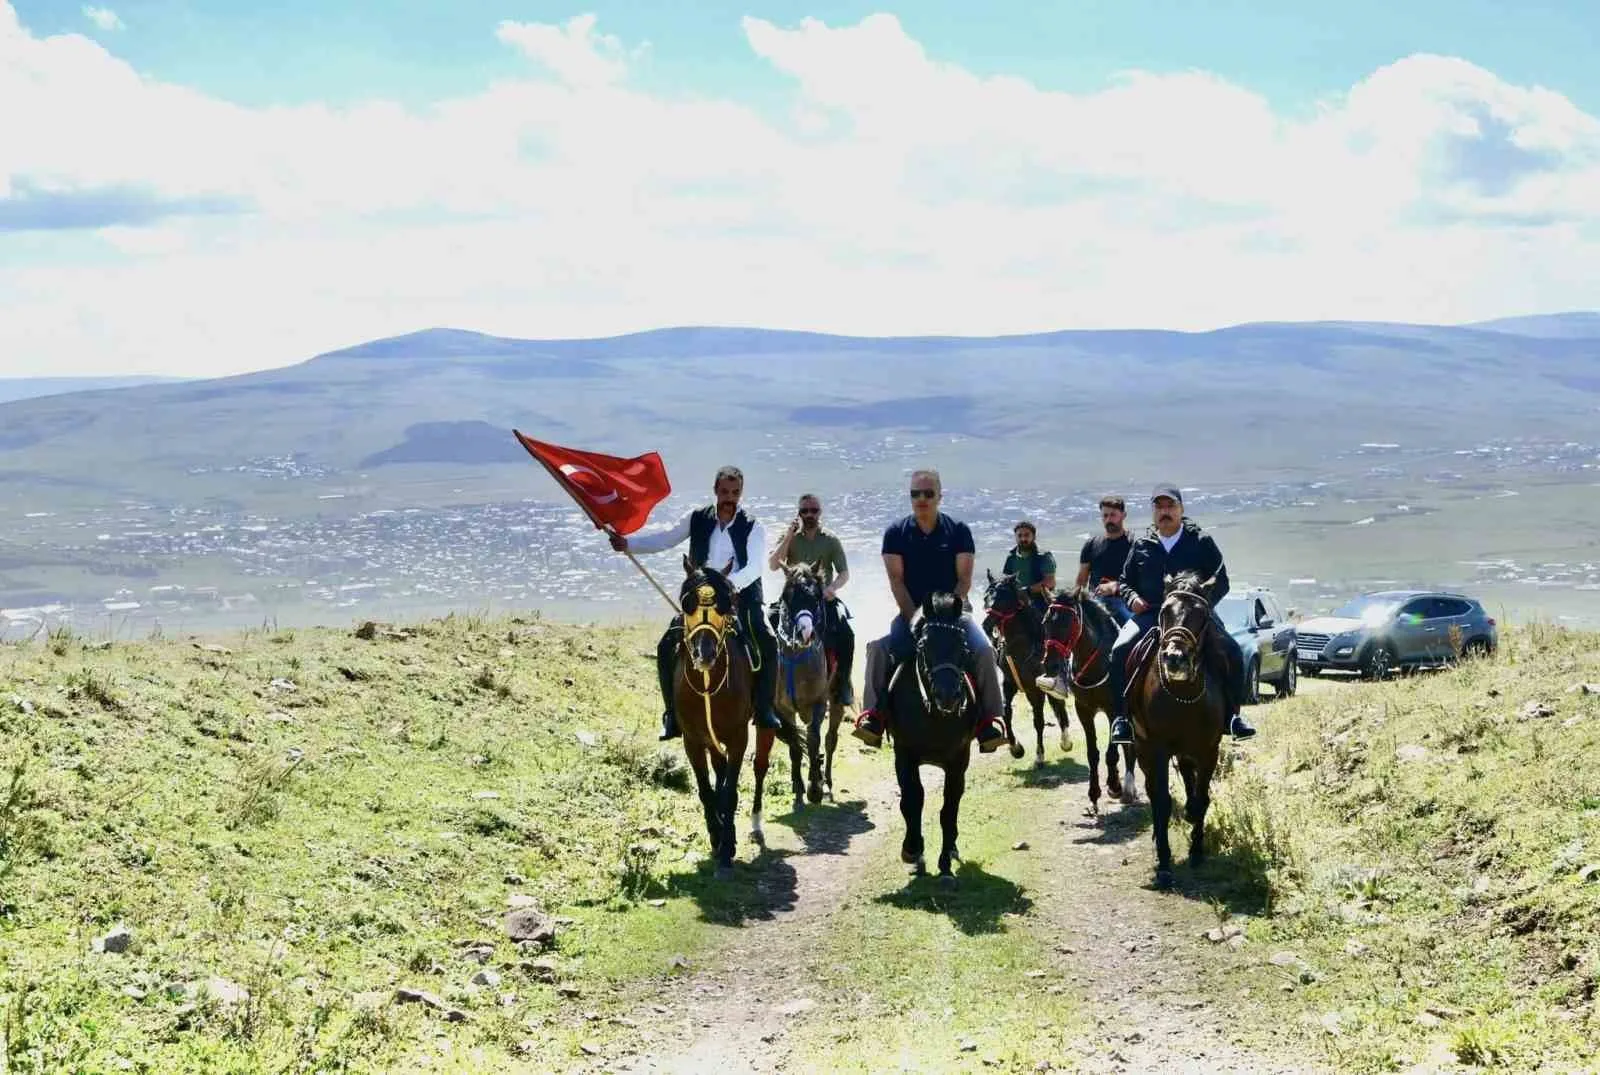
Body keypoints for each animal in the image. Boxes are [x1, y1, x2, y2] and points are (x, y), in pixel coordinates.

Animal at [672, 559, 806, 876]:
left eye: (726, 605)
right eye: (687, 603)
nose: (704, 654)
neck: (709, 682)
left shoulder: (737, 737)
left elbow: (729, 792)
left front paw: (725, 853)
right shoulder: (693, 740)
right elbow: (708, 791)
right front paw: (717, 837)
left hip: (766, 721)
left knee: (760, 766)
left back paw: (756, 824)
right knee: (721, 771)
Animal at [883, 591, 979, 883]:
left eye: (963, 646)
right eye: (924, 645)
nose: (947, 695)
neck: (934, 713)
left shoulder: (958, 759)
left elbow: (949, 807)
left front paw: (945, 864)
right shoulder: (904, 753)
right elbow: (912, 800)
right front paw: (913, 850)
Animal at [979, 569, 1068, 764]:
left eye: (1003, 598)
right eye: (986, 597)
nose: (985, 625)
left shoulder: (1035, 689)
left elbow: (1039, 720)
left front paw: (1039, 755)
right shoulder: (1009, 683)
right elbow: (1006, 712)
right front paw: (1016, 748)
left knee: (1058, 706)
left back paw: (1066, 741)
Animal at [1126, 569, 1222, 889]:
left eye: (1201, 614)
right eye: (1165, 611)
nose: (1175, 658)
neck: (1183, 696)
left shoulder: (1208, 750)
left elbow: (1200, 800)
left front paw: (1197, 851)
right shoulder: (1156, 750)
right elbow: (1162, 802)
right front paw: (1165, 863)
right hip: (1143, 748)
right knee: (1153, 792)